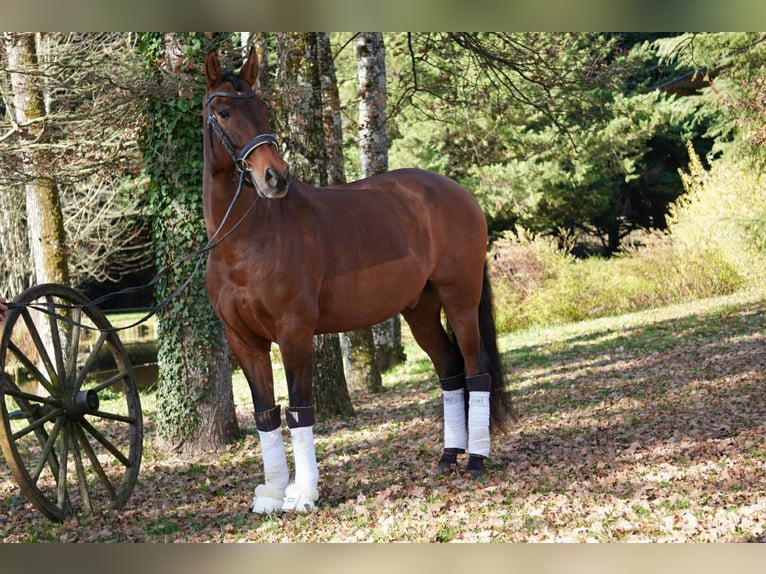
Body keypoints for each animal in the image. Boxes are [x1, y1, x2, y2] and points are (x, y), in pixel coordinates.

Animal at [202, 49, 516, 513]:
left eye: (264, 108)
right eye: (223, 111)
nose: (275, 177)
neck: (245, 239)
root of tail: (460, 194)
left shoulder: (294, 333)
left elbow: (299, 410)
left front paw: (303, 493)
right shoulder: (245, 342)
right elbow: (265, 414)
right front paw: (272, 493)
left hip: (459, 300)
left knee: (476, 371)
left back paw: (476, 459)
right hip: (421, 311)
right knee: (450, 370)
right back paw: (447, 457)